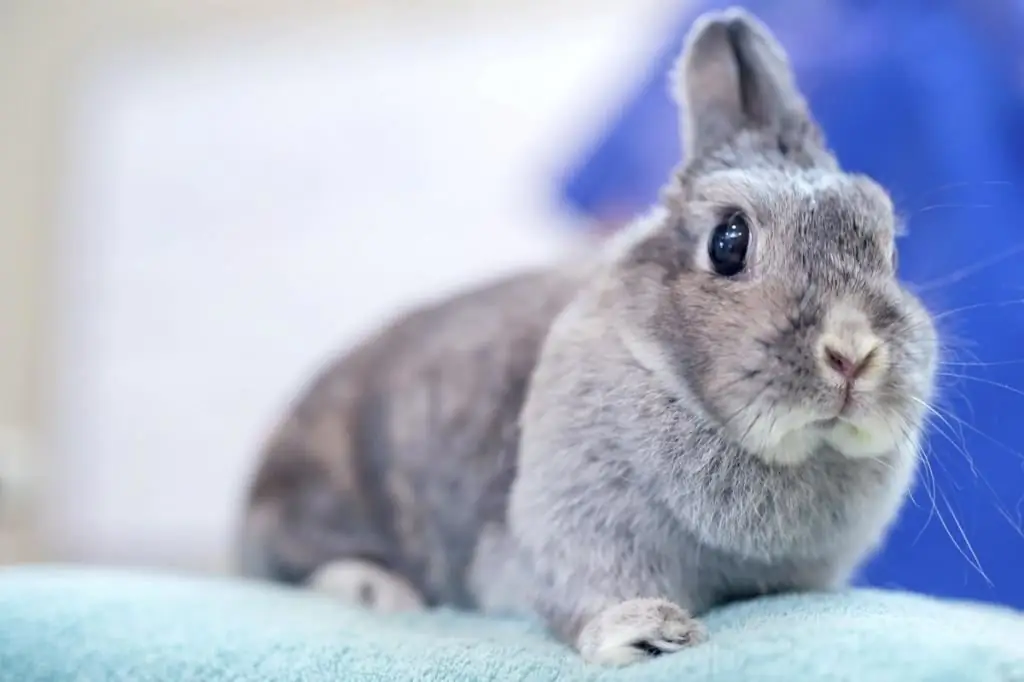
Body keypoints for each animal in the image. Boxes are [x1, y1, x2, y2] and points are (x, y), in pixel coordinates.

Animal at [235, 5, 937, 663]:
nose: (853, 357)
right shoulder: (580, 523)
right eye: (729, 241)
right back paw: (378, 591)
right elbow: (589, 591)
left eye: (889, 251)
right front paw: (647, 632)